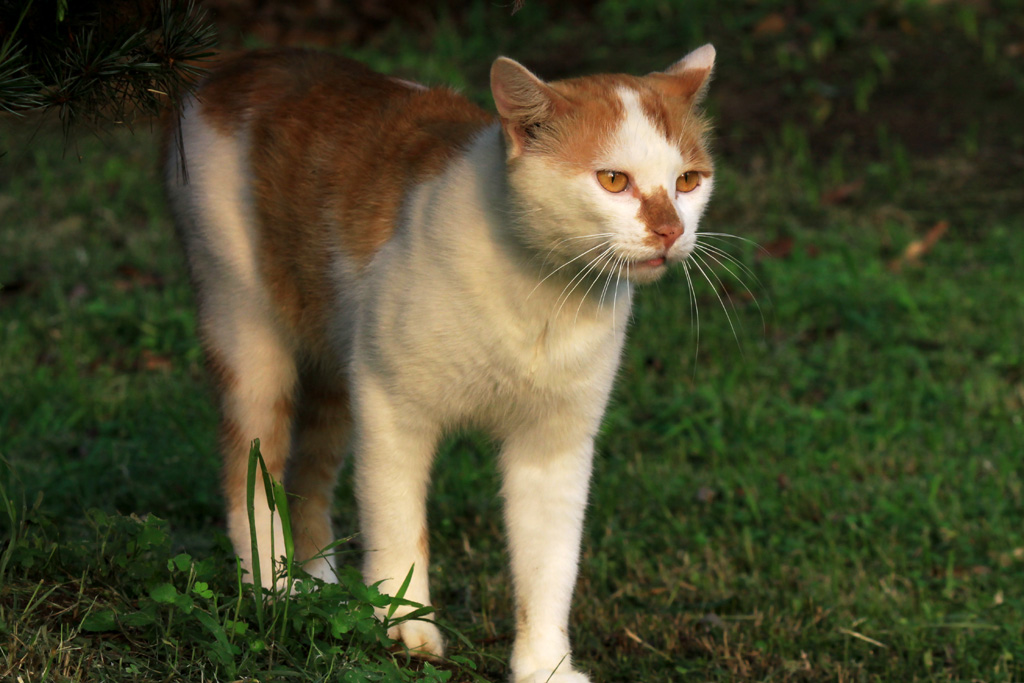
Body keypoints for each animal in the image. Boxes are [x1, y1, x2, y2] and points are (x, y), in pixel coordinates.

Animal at [163, 44, 716, 683]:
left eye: (688, 181)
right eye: (613, 181)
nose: (670, 229)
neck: (543, 296)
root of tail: (238, 62)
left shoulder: (555, 447)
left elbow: (550, 564)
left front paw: (545, 664)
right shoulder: (390, 410)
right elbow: (399, 528)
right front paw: (406, 627)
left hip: (337, 361)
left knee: (308, 476)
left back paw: (320, 592)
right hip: (246, 327)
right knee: (250, 470)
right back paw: (273, 593)